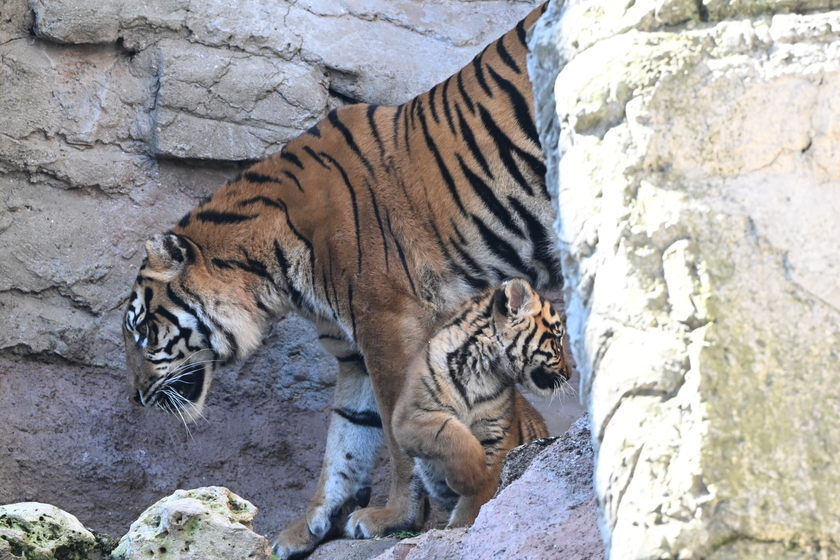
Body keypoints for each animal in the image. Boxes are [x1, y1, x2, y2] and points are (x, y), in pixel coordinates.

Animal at [123, 3, 556, 556]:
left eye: (142, 331)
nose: (135, 397)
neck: (272, 276)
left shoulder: (388, 322)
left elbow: (395, 429)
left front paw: (394, 516)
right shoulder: (352, 348)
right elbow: (347, 439)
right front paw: (307, 527)